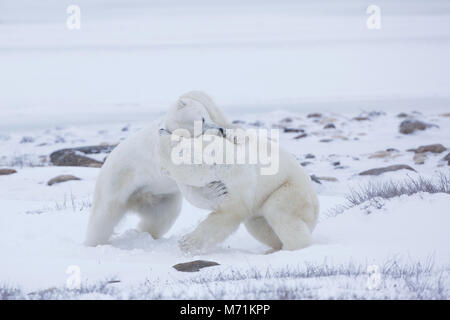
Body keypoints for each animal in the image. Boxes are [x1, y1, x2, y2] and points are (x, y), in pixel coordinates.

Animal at [84, 91, 230, 246]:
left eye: (207, 115)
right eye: (202, 119)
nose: (221, 129)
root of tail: (136, 200)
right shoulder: (163, 155)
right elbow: (189, 176)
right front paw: (218, 192)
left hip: (160, 197)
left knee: (162, 217)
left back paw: (146, 234)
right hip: (114, 183)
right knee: (102, 217)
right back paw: (94, 243)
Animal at [158, 125, 320, 252]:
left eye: (176, 136)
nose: (161, 129)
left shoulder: (236, 179)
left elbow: (229, 213)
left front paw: (187, 243)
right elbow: (199, 196)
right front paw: (215, 192)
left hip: (291, 190)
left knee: (278, 210)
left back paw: (293, 248)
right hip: (261, 207)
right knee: (259, 226)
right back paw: (274, 248)